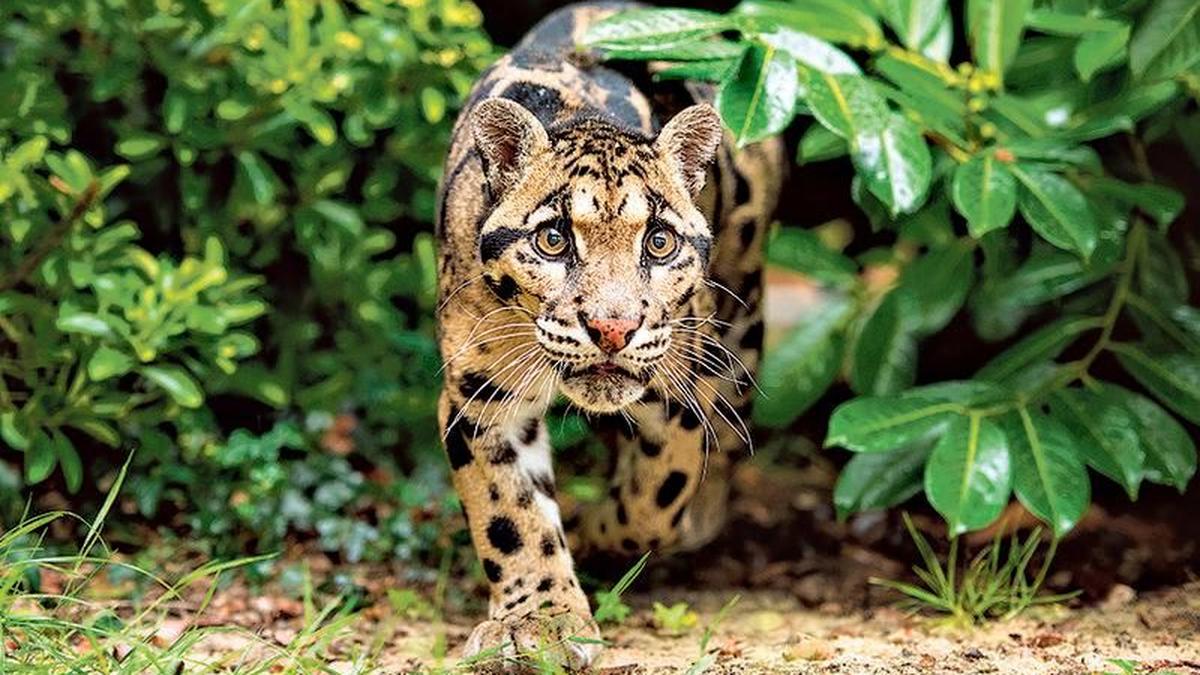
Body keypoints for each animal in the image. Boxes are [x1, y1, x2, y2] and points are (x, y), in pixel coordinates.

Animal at [434, 2, 785, 669]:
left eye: (659, 242)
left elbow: (655, 500)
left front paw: (598, 536)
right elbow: (510, 513)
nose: (612, 328)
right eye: (553, 240)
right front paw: (540, 618)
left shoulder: (681, 391)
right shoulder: (480, 397)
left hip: (742, 321)